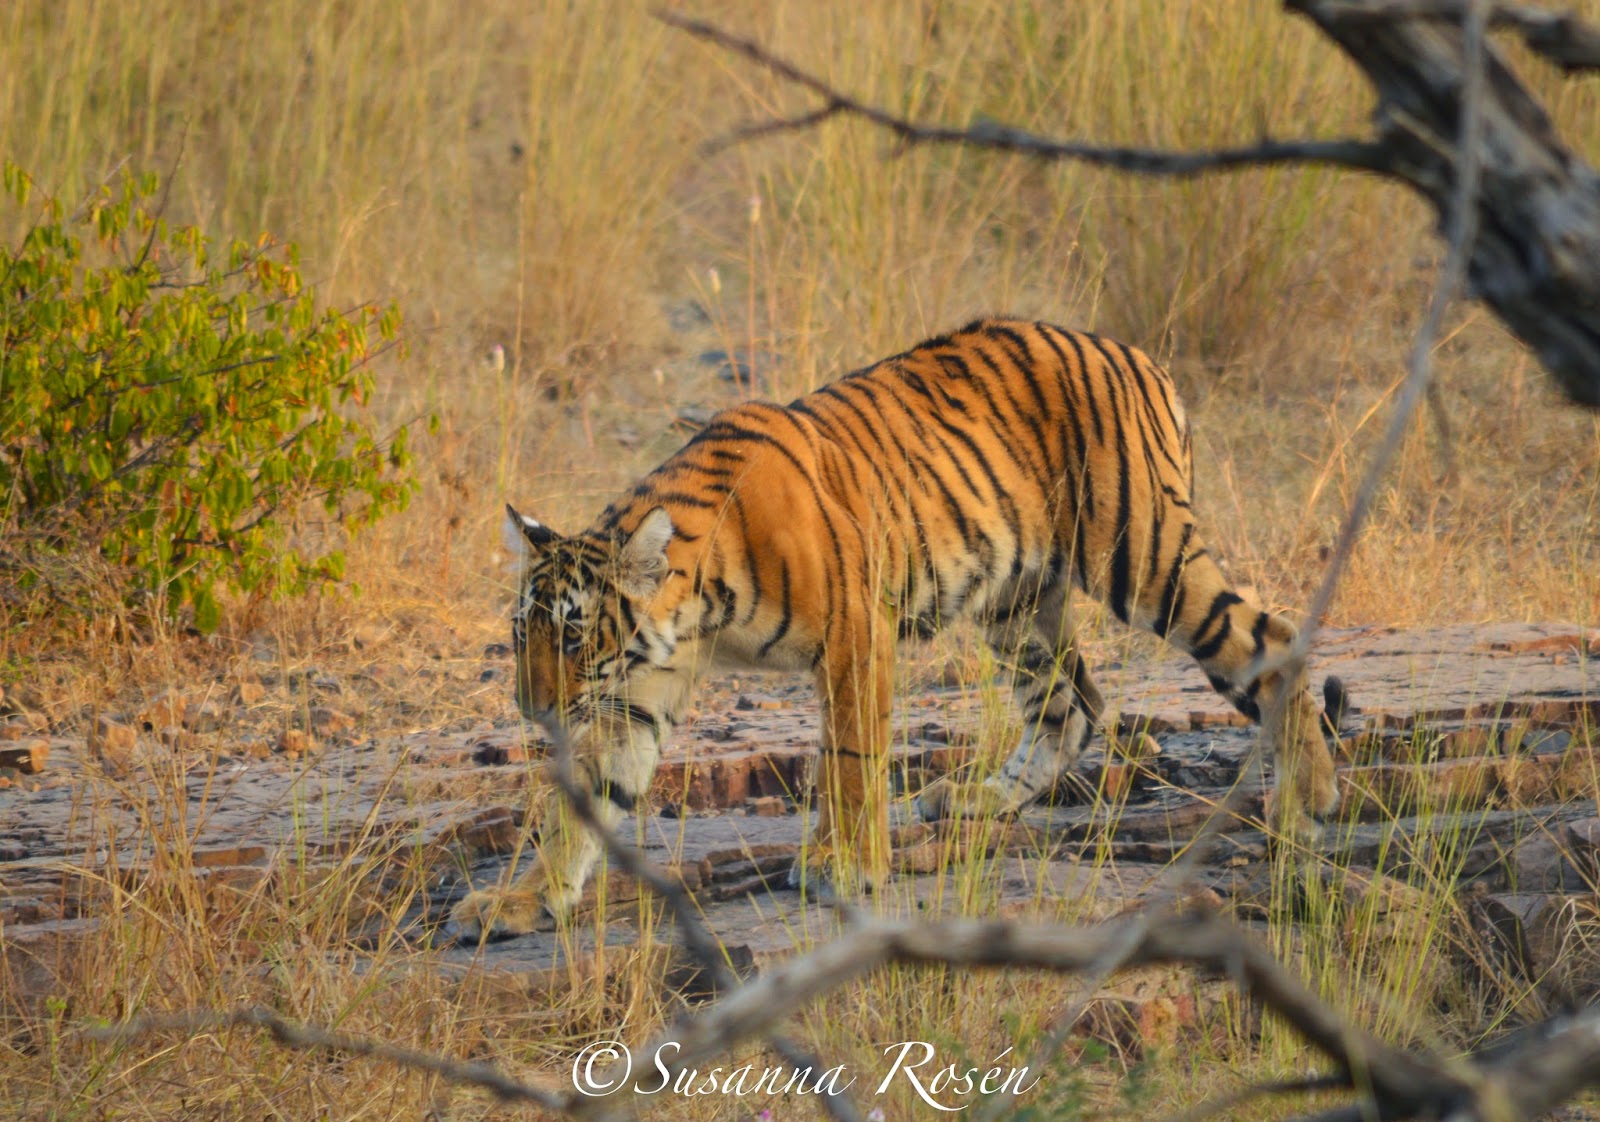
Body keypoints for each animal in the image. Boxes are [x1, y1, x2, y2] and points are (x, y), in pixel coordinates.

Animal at [447, 318, 1341, 942]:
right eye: (522, 635)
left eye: (572, 638)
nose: (531, 710)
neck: (690, 615)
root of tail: (1136, 354)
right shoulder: (635, 693)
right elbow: (582, 803)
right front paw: (519, 902)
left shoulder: (854, 635)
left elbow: (848, 762)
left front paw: (845, 867)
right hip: (1018, 601)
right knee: (1073, 706)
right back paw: (972, 800)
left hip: (1142, 554)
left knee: (1268, 641)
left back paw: (1312, 802)